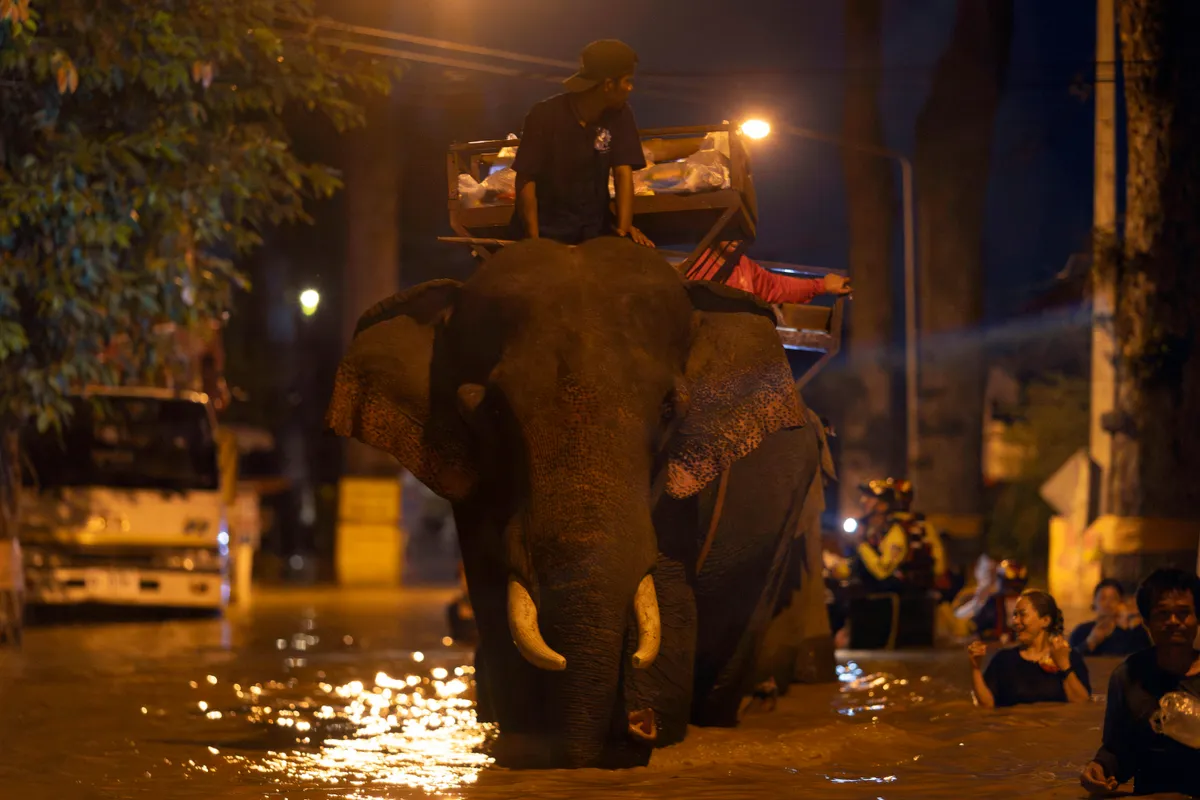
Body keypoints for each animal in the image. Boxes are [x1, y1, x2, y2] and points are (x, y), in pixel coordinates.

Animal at [328, 237, 835, 767]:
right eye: (491, 411)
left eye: (669, 409)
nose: (637, 724)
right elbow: (492, 588)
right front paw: (524, 735)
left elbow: (665, 586)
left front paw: (648, 728)